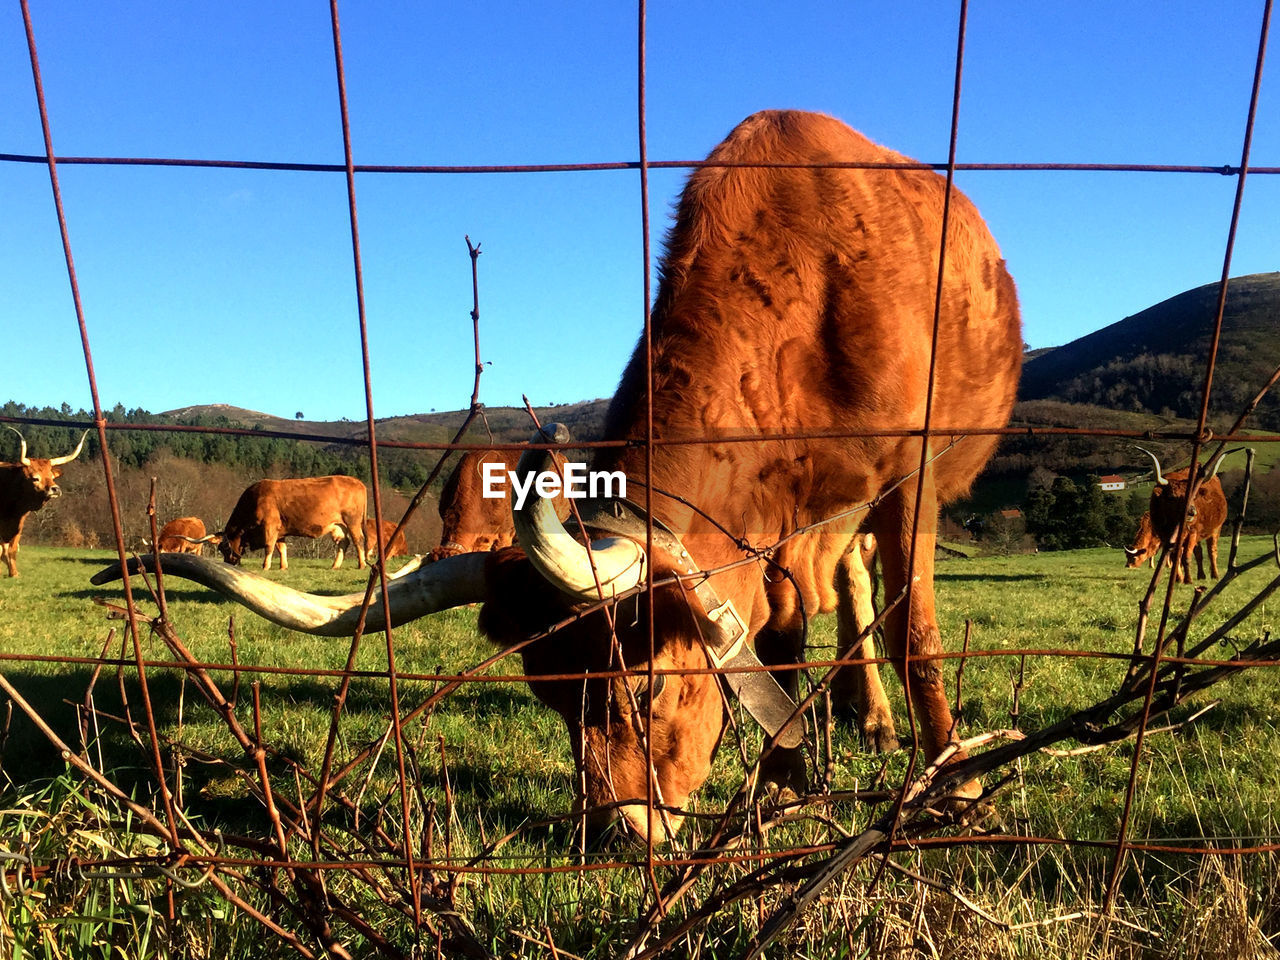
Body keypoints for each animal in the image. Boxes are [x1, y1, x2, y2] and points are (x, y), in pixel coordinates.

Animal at [217, 476, 368, 570]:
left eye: (224, 549)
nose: (227, 564)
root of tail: (357, 481)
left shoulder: (270, 525)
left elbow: (269, 546)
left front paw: (265, 566)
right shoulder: (279, 531)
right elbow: (281, 548)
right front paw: (283, 566)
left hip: (352, 522)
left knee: (358, 541)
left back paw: (362, 564)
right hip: (339, 526)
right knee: (343, 543)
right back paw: (335, 566)